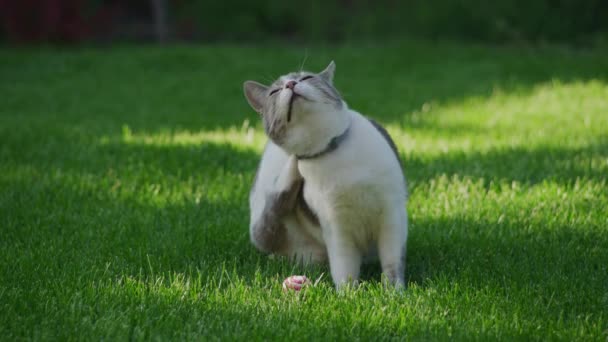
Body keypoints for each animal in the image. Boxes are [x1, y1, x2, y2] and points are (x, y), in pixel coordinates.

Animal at [243, 61, 408, 288]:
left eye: (307, 78)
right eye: (275, 91)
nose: (291, 84)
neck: (332, 151)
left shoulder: (392, 215)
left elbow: (392, 263)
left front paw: (394, 291)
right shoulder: (335, 226)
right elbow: (344, 267)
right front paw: (349, 293)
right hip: (264, 225)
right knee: (274, 207)